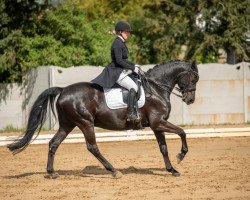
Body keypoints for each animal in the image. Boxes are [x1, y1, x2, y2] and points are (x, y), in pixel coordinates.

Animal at [7, 59, 199, 178]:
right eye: (194, 78)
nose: (190, 100)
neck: (157, 88)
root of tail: (63, 90)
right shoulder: (158, 122)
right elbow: (182, 132)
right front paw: (181, 156)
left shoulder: (156, 125)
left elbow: (163, 148)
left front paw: (172, 169)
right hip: (85, 123)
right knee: (92, 147)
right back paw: (113, 171)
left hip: (67, 124)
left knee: (53, 143)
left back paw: (51, 172)